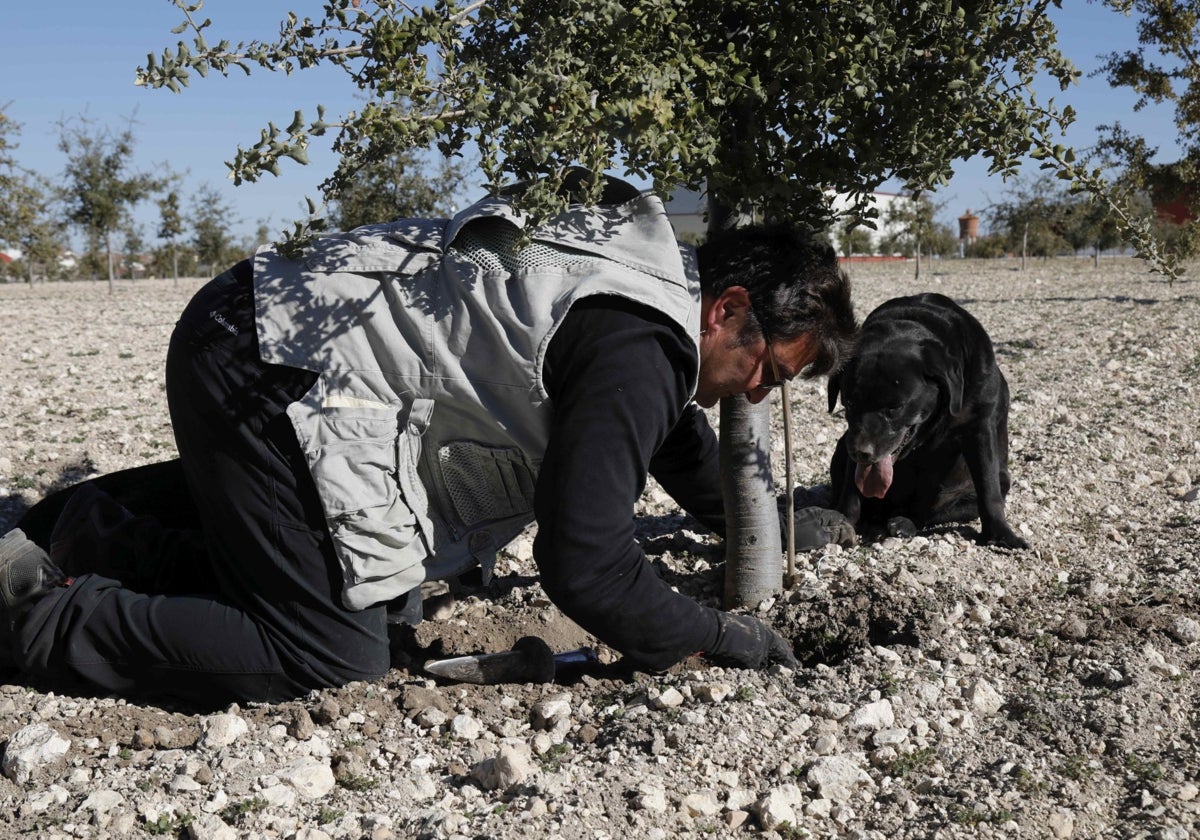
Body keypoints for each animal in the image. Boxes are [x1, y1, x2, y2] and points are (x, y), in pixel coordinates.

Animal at [830, 291, 1027, 547]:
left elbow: (988, 487)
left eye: (895, 407)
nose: (861, 452)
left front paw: (1001, 534)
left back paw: (904, 523)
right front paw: (845, 521)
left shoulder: (979, 428)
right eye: (850, 403)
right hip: (840, 449)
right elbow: (852, 487)